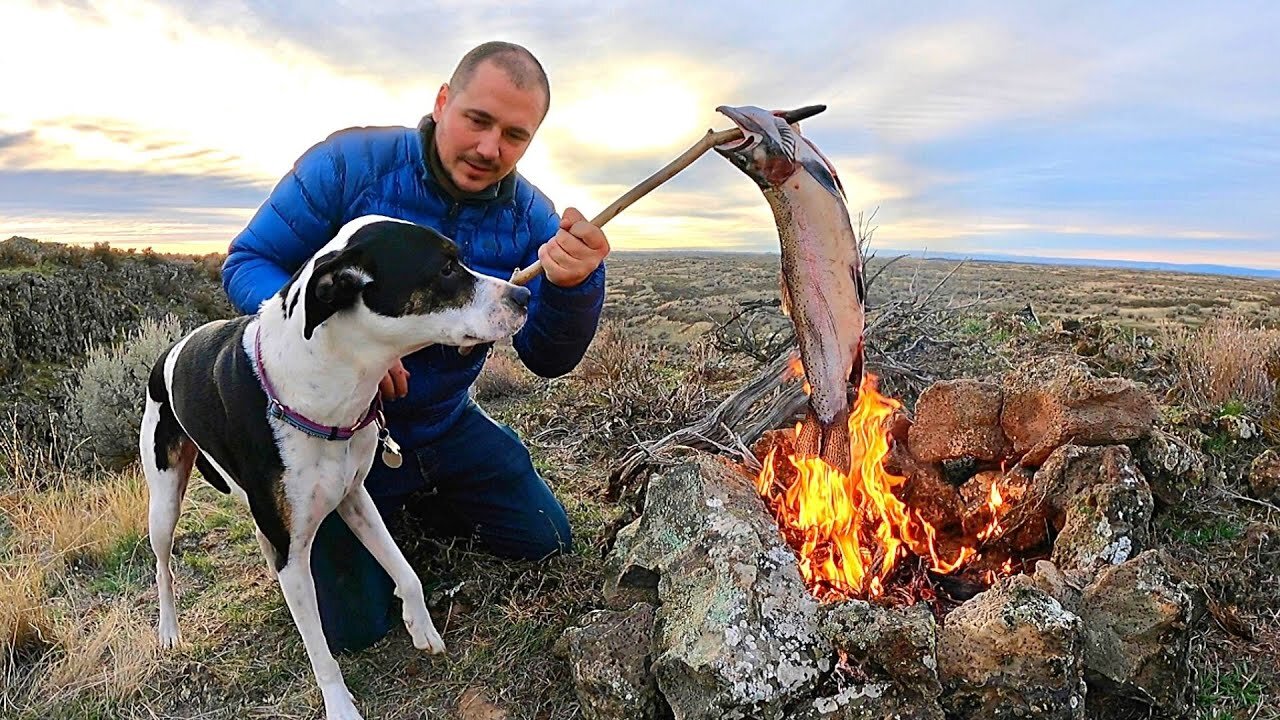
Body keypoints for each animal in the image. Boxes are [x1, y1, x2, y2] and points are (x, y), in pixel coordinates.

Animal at [144, 213, 529, 717]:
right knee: (163, 567)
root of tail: (166, 353)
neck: (320, 386)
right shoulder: (296, 552)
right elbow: (321, 650)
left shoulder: (355, 498)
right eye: (446, 268)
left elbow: (405, 571)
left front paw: (421, 625)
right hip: (164, 503)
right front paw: (339, 705)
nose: (524, 295)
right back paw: (170, 631)